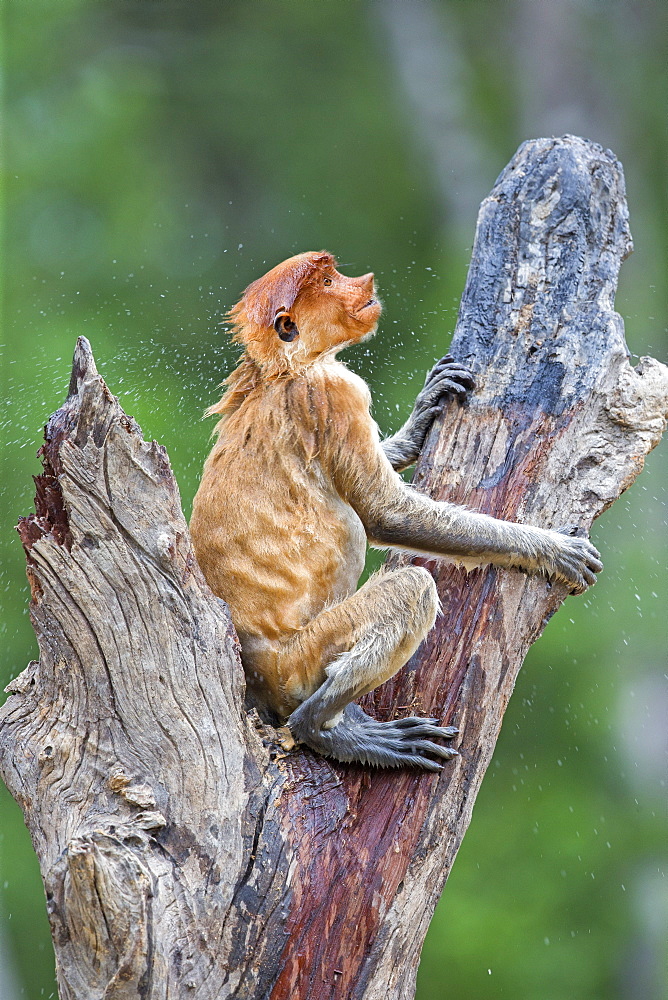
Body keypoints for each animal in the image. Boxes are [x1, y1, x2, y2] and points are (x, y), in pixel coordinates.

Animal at [189, 254, 604, 768]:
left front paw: (422, 414)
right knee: (413, 587)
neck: (282, 373)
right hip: (301, 660)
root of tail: (254, 674)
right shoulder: (335, 392)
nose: (363, 283)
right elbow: (386, 516)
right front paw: (552, 549)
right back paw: (321, 728)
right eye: (328, 281)